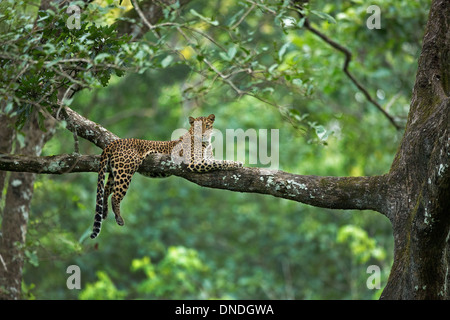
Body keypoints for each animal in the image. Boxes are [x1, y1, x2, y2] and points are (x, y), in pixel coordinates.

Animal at [90, 114, 243, 239]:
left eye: (207, 126)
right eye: (198, 128)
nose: (204, 135)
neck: (205, 143)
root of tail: (115, 142)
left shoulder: (206, 159)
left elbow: (216, 161)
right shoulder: (195, 163)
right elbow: (219, 162)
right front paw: (237, 163)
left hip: (114, 172)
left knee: (106, 190)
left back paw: (104, 212)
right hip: (126, 170)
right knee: (116, 195)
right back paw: (119, 218)